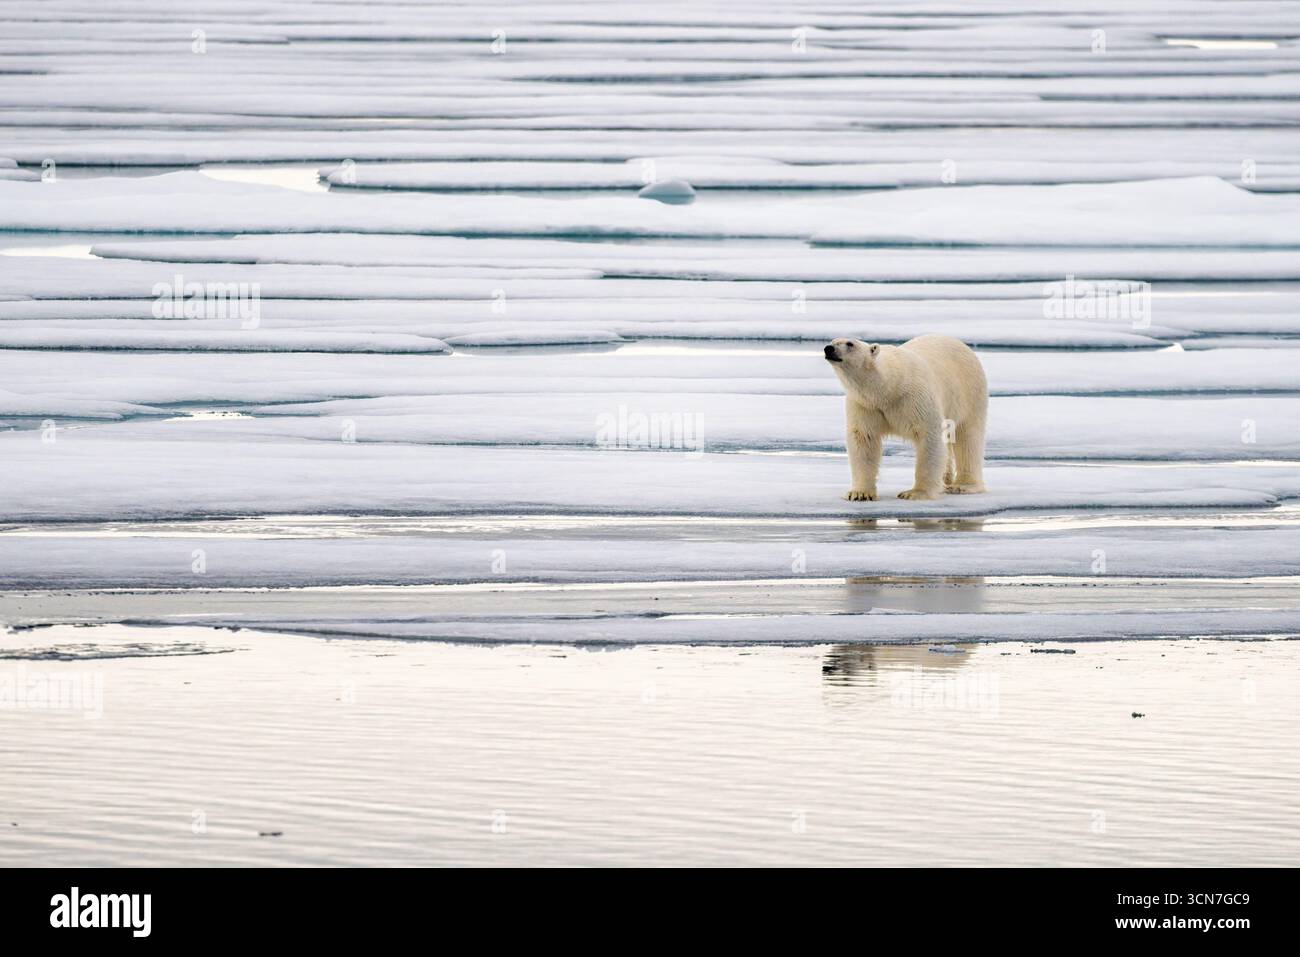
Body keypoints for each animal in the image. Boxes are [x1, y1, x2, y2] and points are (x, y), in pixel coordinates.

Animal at [823, 334, 987, 501]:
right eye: (833, 341)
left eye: (850, 344)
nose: (828, 349)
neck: (889, 387)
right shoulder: (866, 405)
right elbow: (864, 439)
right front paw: (860, 493)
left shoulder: (915, 398)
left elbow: (929, 436)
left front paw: (915, 493)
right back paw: (945, 481)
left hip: (969, 392)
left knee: (968, 437)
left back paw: (963, 485)